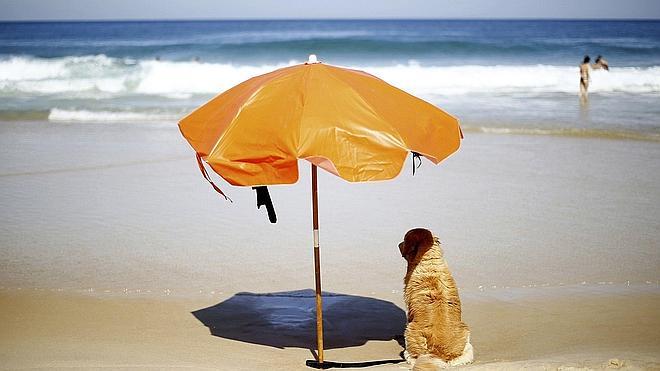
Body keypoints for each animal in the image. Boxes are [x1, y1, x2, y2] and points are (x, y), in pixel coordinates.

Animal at [400, 228, 472, 370]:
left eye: (404, 241)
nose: (398, 244)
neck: (429, 259)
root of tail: (439, 354)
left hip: (409, 332)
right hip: (467, 341)